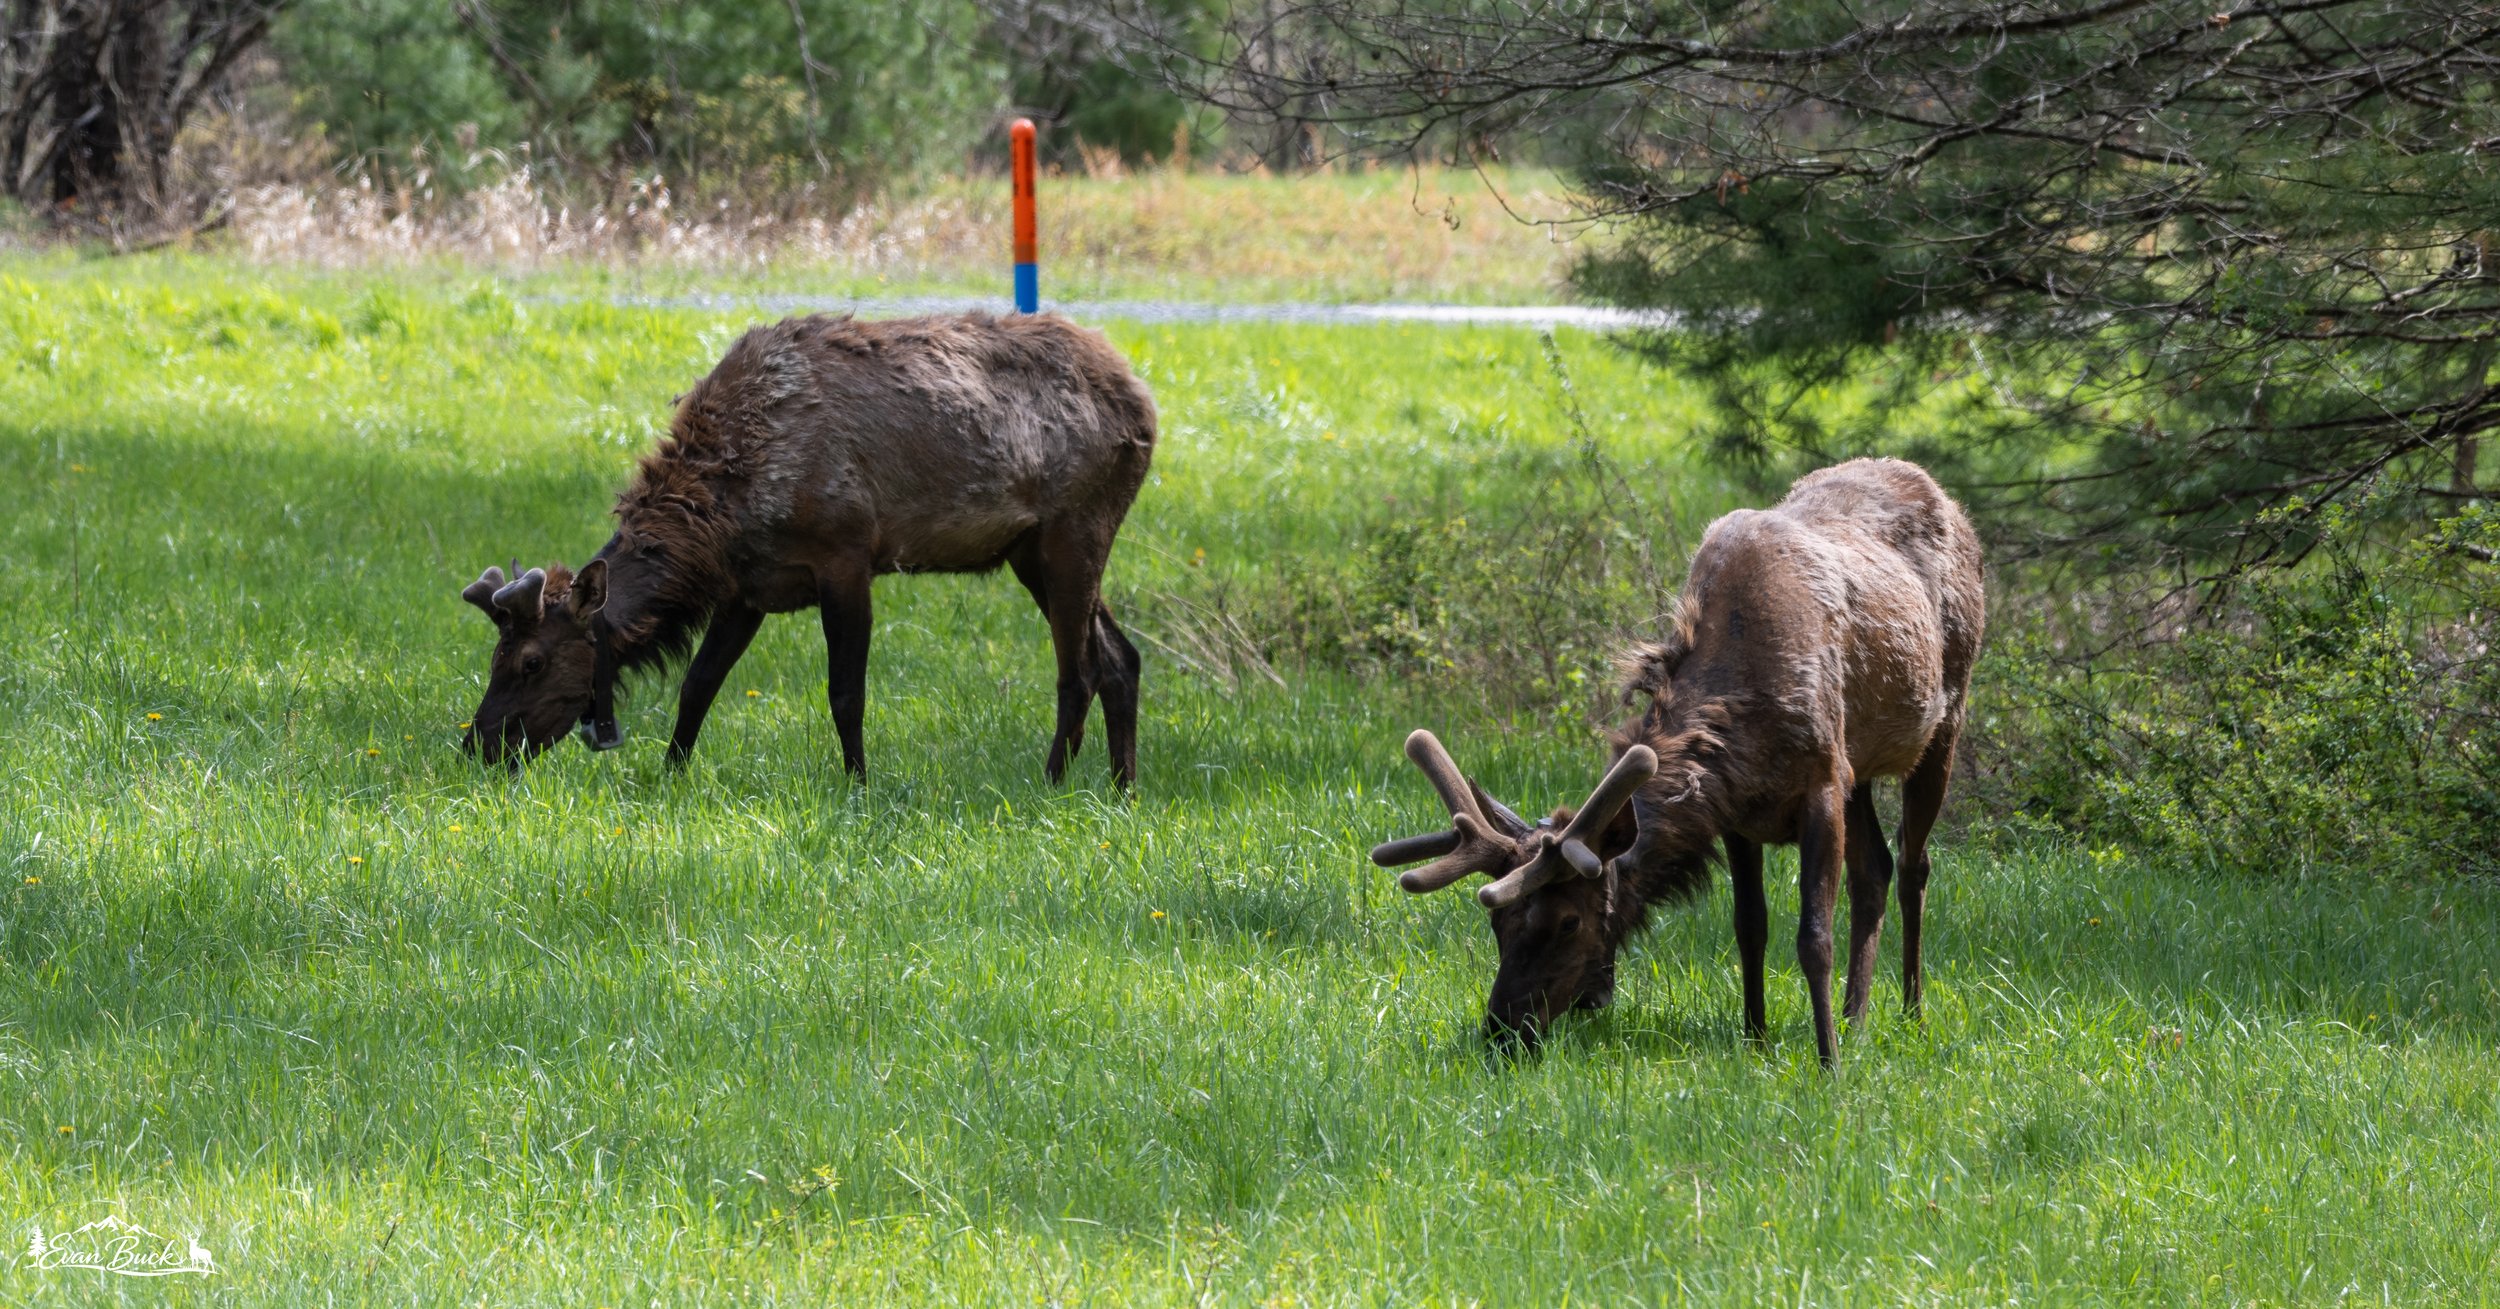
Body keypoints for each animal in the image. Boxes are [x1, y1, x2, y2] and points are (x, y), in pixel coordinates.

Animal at [460, 311, 1158, 786]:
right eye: (494, 656)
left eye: (531, 661)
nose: (478, 744)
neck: (722, 519)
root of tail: (1147, 406)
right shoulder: (745, 590)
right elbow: (697, 686)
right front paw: (670, 776)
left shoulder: (846, 555)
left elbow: (845, 693)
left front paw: (858, 786)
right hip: (1030, 550)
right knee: (1121, 657)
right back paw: (1120, 789)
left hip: (1075, 527)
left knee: (1079, 670)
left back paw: (1052, 783)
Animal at [1370, 458, 1985, 1065]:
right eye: (1497, 921)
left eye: (1569, 921)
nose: (1501, 1030)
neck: (1743, 712)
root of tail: (1947, 498)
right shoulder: (1742, 810)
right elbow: (1750, 927)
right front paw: (1756, 1039)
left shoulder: (1823, 781)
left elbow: (1813, 936)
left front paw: (1826, 1061)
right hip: (1860, 768)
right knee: (1873, 869)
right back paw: (1858, 1020)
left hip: (1945, 719)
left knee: (1912, 864)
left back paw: (1908, 1013)